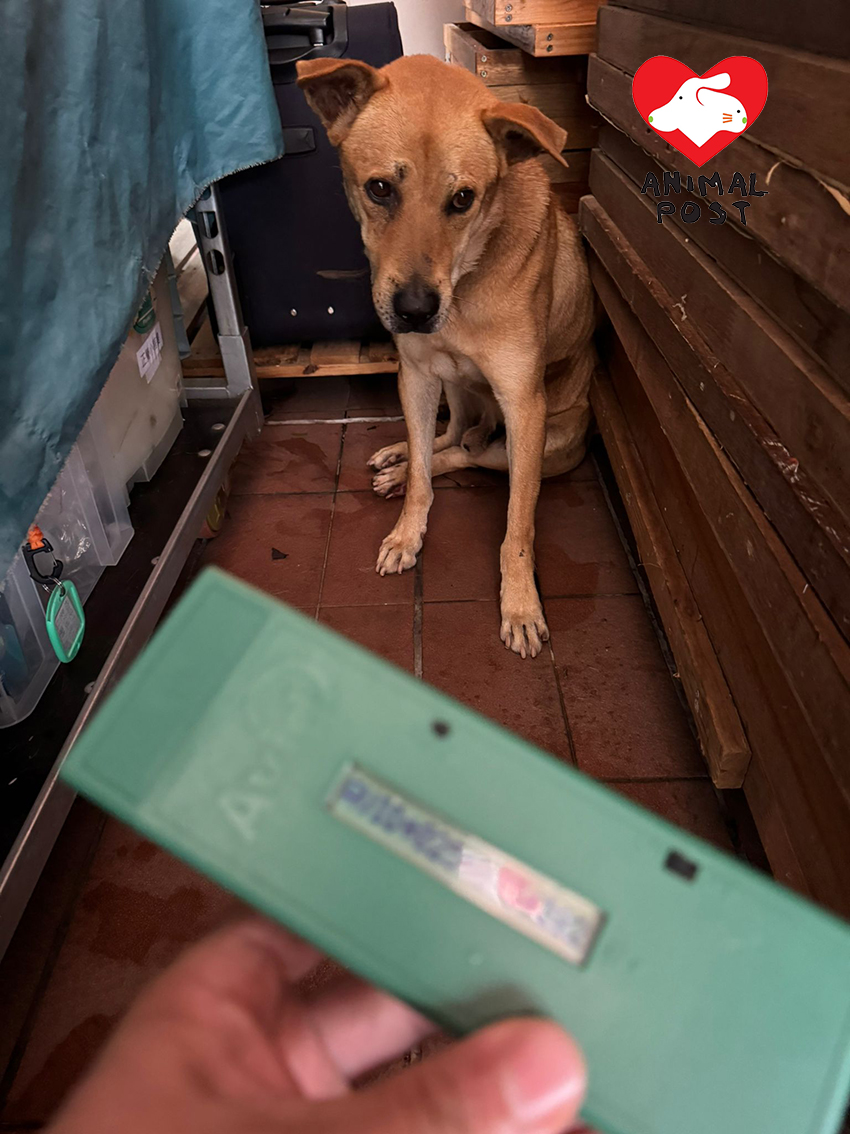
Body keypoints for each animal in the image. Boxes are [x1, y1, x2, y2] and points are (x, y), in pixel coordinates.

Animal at [297, 54, 595, 658]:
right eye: (380, 188)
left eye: (463, 199)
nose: (414, 310)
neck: (465, 279)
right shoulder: (415, 374)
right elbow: (423, 475)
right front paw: (407, 527)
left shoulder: (524, 405)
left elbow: (518, 524)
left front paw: (521, 604)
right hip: (454, 387)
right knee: (448, 439)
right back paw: (397, 460)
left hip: (544, 441)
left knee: (473, 455)